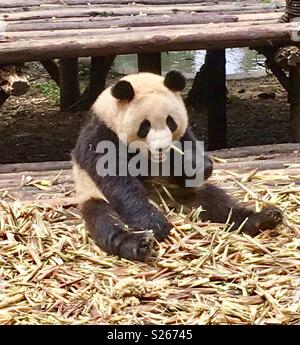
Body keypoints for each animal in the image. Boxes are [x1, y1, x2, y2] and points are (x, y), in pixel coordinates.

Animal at [71, 71, 282, 262]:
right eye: (144, 126)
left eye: (170, 121)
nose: (162, 147)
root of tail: (170, 205)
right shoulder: (101, 135)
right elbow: (118, 180)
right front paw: (155, 223)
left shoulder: (182, 138)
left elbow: (188, 154)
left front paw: (199, 166)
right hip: (94, 196)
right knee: (106, 221)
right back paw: (138, 244)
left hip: (186, 193)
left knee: (219, 203)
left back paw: (263, 218)